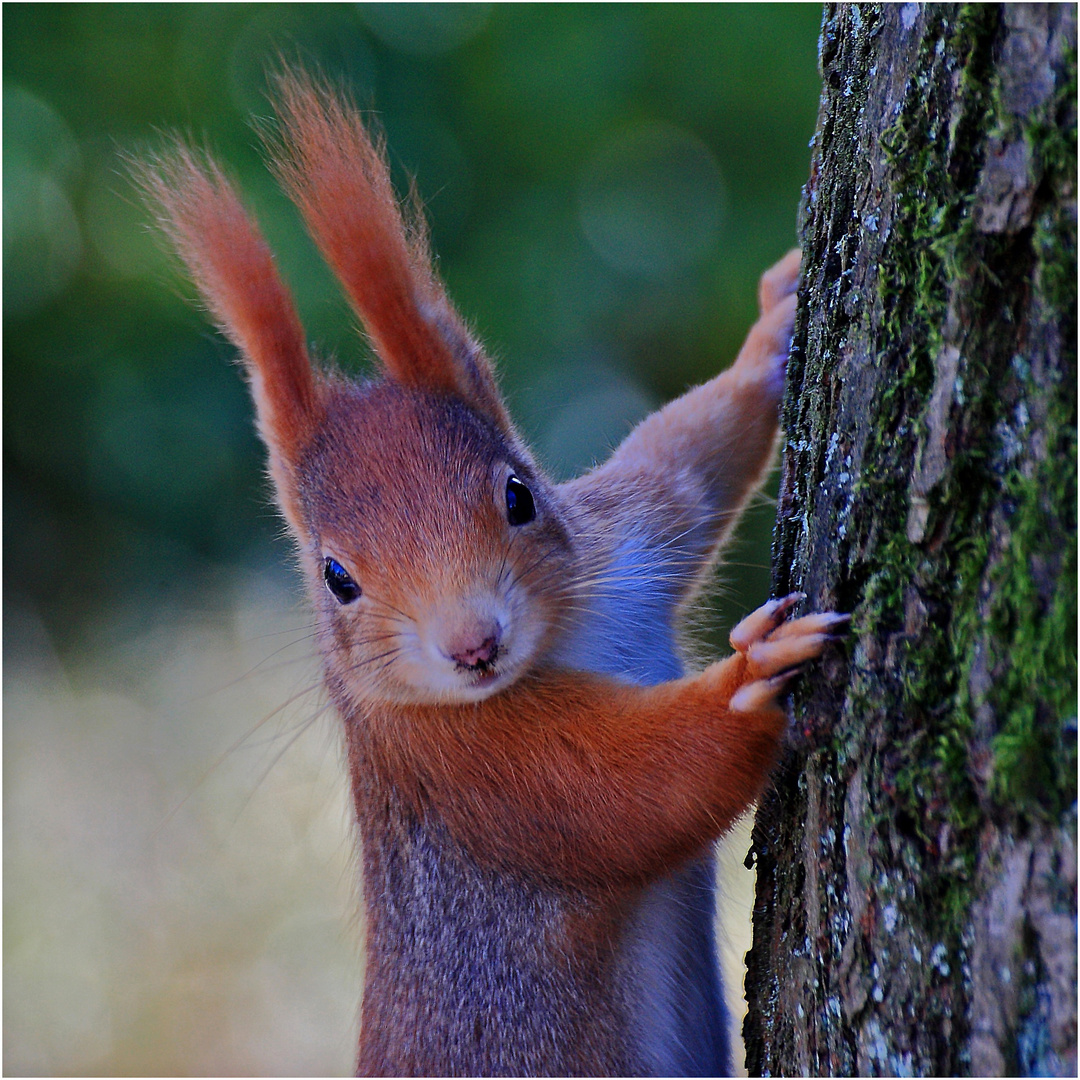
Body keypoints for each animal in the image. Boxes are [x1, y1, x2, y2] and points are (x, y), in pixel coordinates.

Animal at [137, 71, 842, 1075]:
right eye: (336, 577)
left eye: (518, 493)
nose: (472, 646)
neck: (566, 637)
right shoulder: (469, 770)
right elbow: (625, 793)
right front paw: (754, 676)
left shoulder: (627, 541)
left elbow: (687, 456)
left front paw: (772, 334)